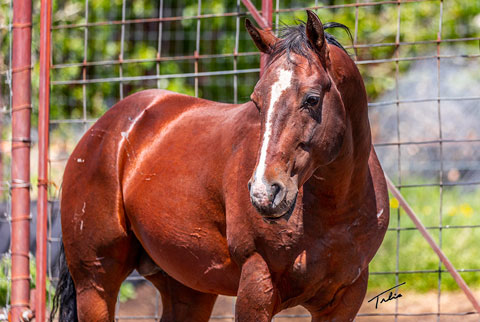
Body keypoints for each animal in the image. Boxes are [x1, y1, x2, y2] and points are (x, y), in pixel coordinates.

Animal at [52, 11, 390, 320]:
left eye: (312, 99)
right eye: (256, 101)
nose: (264, 193)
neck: (334, 210)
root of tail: (102, 131)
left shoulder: (345, 299)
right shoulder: (256, 286)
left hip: (188, 288)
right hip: (95, 284)